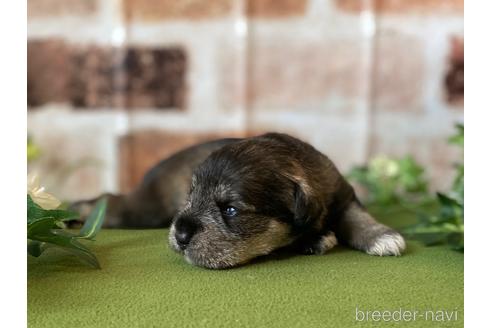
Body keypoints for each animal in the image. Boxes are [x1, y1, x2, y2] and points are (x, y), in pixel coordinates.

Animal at [73, 133, 404, 270]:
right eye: (190, 197)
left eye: (231, 210)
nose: (180, 234)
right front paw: (320, 238)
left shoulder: (342, 194)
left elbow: (356, 217)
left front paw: (382, 236)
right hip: (146, 210)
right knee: (111, 202)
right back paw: (78, 210)